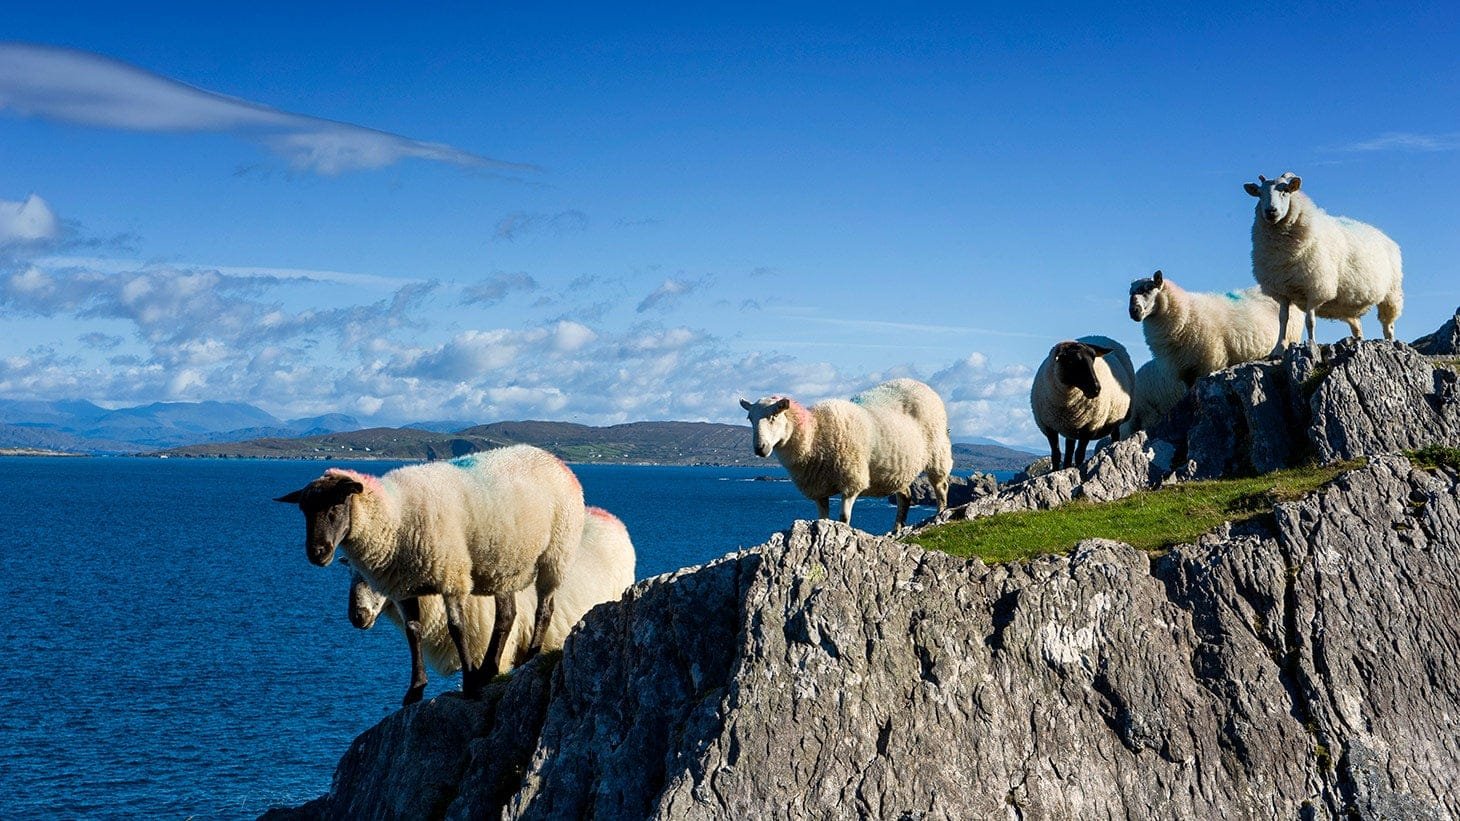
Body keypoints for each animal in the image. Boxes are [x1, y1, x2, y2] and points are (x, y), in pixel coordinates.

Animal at [275, 444, 584, 701]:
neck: (396, 515)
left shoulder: (452, 575)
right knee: (507, 616)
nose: (317, 553)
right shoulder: (402, 587)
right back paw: (488, 670)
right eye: (303, 510)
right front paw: (415, 691)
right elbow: (413, 633)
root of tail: (555, 459)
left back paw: (529, 657)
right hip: (503, 565)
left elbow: (457, 628)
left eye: (337, 506)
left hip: (555, 554)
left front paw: (469, 683)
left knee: (544, 608)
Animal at [735, 376, 951, 531]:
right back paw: (896, 530)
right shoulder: (818, 488)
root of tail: (917, 383)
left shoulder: (851, 481)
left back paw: (940, 515)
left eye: (774, 416)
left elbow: (843, 517)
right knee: (905, 497)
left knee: (941, 486)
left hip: (938, 451)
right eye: (750, 418)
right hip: (899, 470)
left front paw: (844, 532)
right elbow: (822, 518)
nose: (759, 448)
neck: (815, 434)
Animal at [1027, 335, 1138, 470]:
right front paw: (1055, 470)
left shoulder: (1089, 427)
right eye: (1071, 361)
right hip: (1070, 428)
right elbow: (1056, 455)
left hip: (1116, 417)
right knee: (1069, 450)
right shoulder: (1048, 426)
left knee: (1115, 436)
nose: (1096, 388)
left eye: (1093, 359)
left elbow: (1079, 454)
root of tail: (1100, 336)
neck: (1067, 402)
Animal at [1127, 268, 1302, 382]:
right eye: (1130, 293)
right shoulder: (1184, 372)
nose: (1133, 311)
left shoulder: (1210, 363)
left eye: (1148, 289)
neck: (1186, 312)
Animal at [1243, 170, 1401, 353]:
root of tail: (1383, 234)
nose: (1270, 211)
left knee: (1388, 325)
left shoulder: (1315, 287)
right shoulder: (1282, 290)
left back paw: (1391, 342)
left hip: (1391, 293)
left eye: (1286, 191)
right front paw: (1279, 347)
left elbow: (1310, 321)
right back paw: (1358, 341)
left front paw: (1311, 344)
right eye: (1260, 194)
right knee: (1357, 328)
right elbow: (1283, 319)